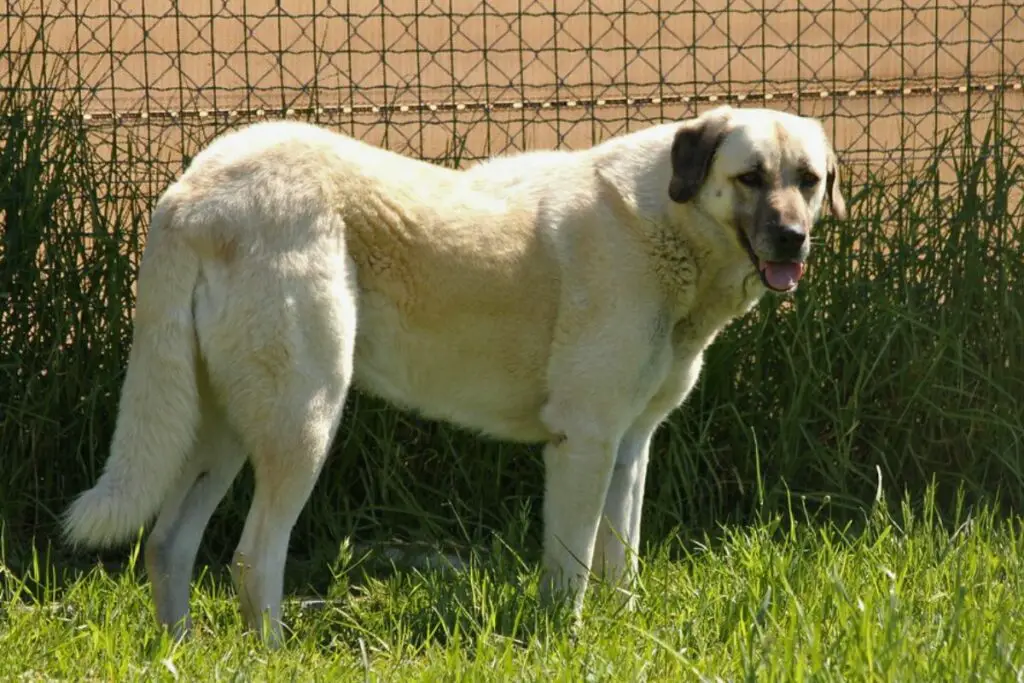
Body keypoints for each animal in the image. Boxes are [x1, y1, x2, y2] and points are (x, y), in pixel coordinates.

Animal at [61, 104, 847, 643]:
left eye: (809, 181)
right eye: (749, 178)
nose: (793, 238)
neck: (669, 225)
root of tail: (190, 190)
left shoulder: (629, 447)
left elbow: (618, 562)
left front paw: (624, 633)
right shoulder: (584, 442)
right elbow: (570, 568)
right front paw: (568, 642)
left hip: (225, 425)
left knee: (169, 544)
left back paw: (186, 652)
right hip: (304, 416)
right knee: (254, 557)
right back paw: (273, 655)